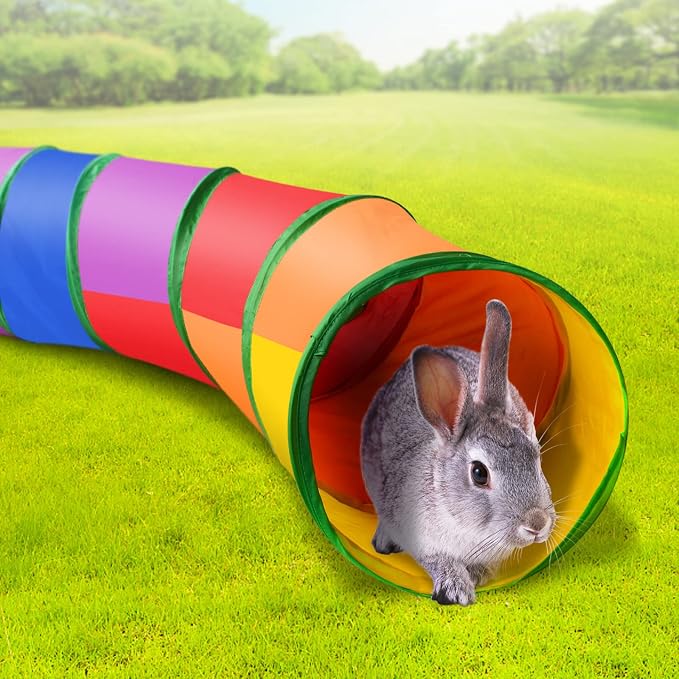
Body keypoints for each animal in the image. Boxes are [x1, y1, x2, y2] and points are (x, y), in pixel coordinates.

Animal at [360, 299, 555, 606]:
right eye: (479, 473)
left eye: (535, 455)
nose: (537, 523)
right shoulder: (424, 540)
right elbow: (440, 561)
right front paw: (456, 591)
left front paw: (477, 578)